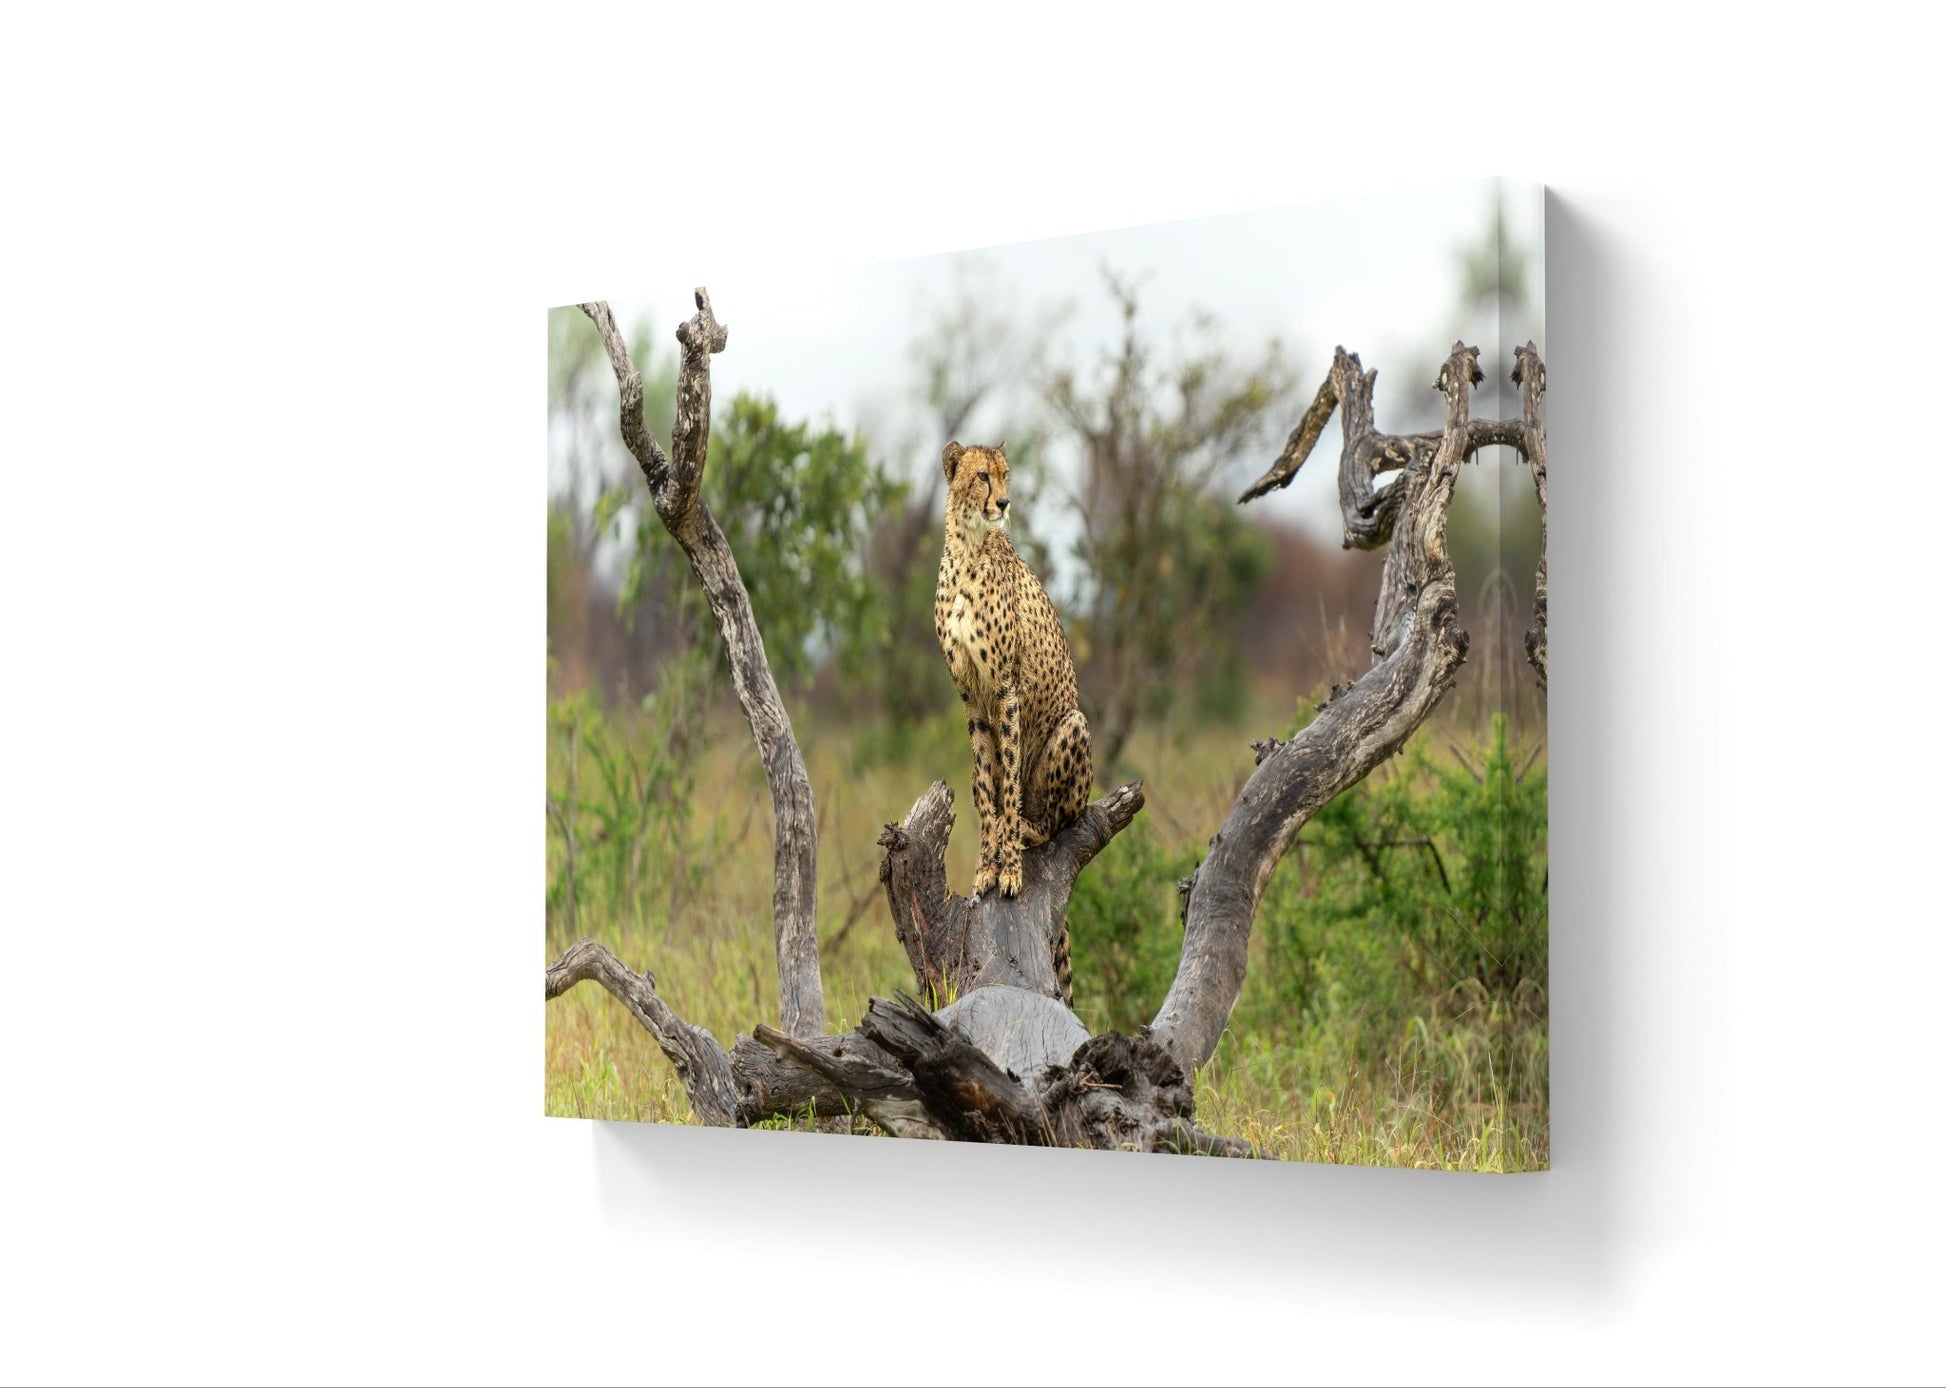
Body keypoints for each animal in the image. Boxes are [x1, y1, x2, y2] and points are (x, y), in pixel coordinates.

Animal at [933, 440, 1094, 1006]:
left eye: (1007, 476)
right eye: (983, 476)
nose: (1003, 503)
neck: (968, 548)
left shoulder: (1006, 690)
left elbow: (1004, 790)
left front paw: (1006, 867)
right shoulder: (971, 701)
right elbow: (987, 786)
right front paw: (985, 865)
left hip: (1074, 725)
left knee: (1057, 820)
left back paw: (1026, 828)